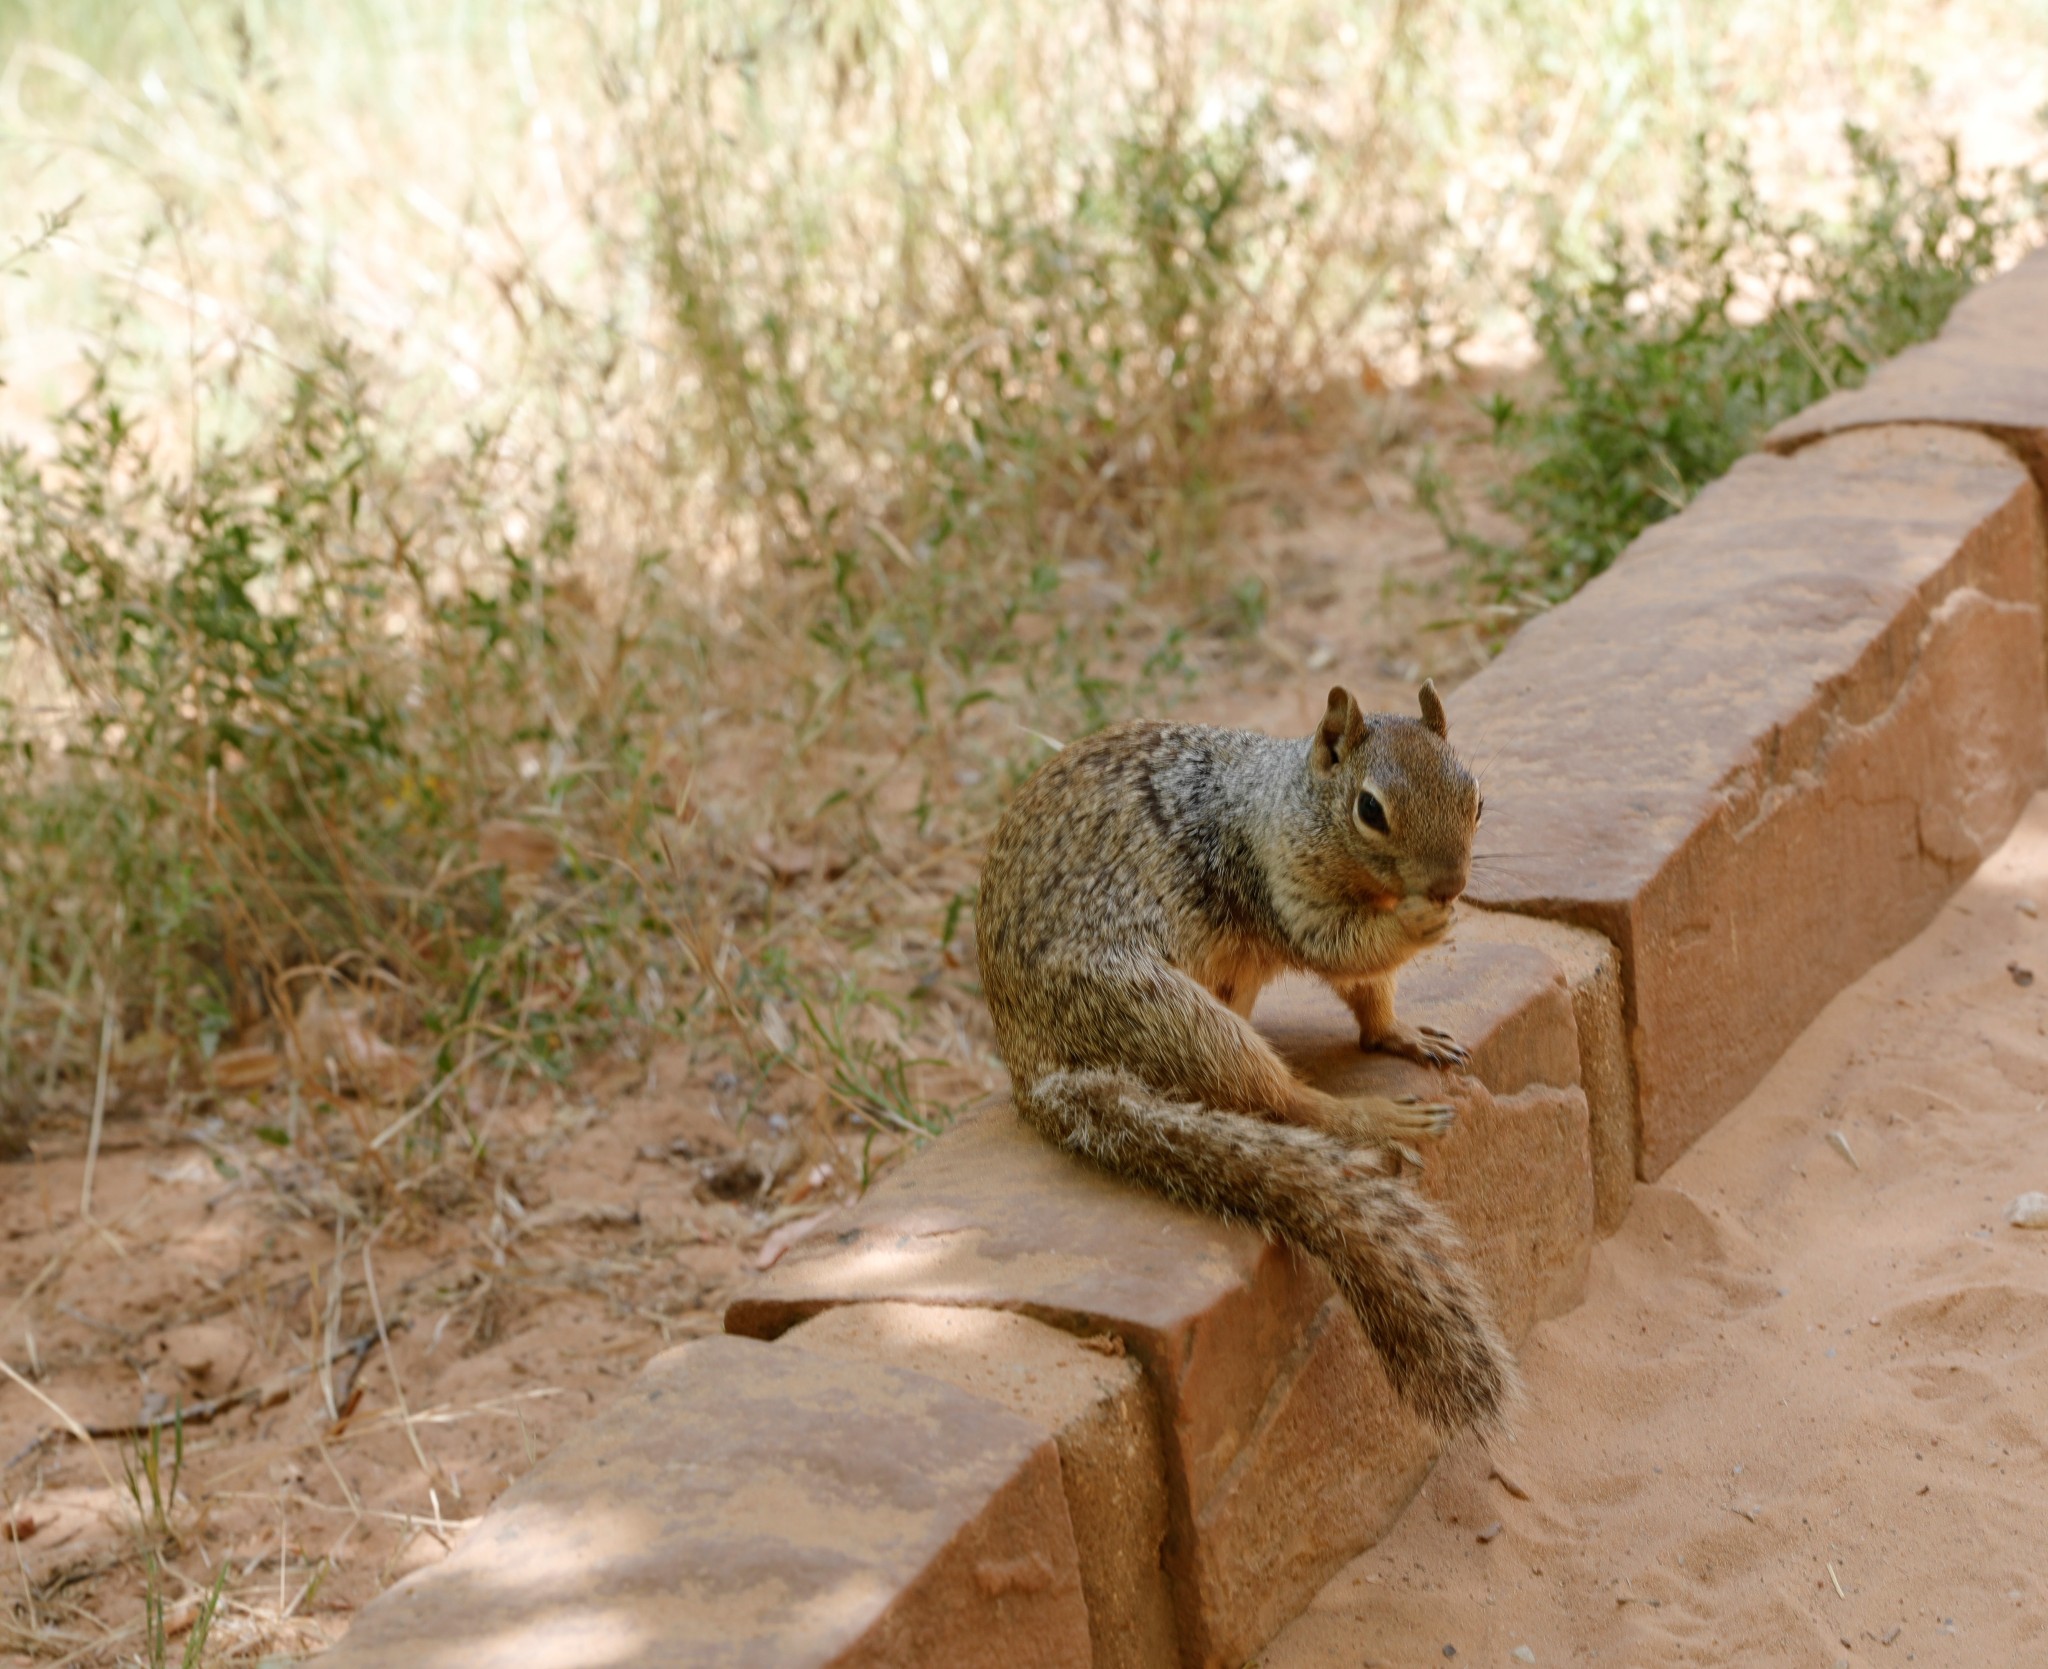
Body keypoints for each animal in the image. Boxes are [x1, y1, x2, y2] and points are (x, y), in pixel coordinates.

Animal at [974, 683, 1523, 1433]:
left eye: (1477, 796)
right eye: (1370, 809)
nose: (1449, 886)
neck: (1282, 803)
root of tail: (1035, 1072)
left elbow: (1370, 997)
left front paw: (1402, 1030)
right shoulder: (1279, 887)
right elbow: (1345, 948)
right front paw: (1419, 923)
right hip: (1164, 1012)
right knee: (1278, 1097)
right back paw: (1373, 1120)